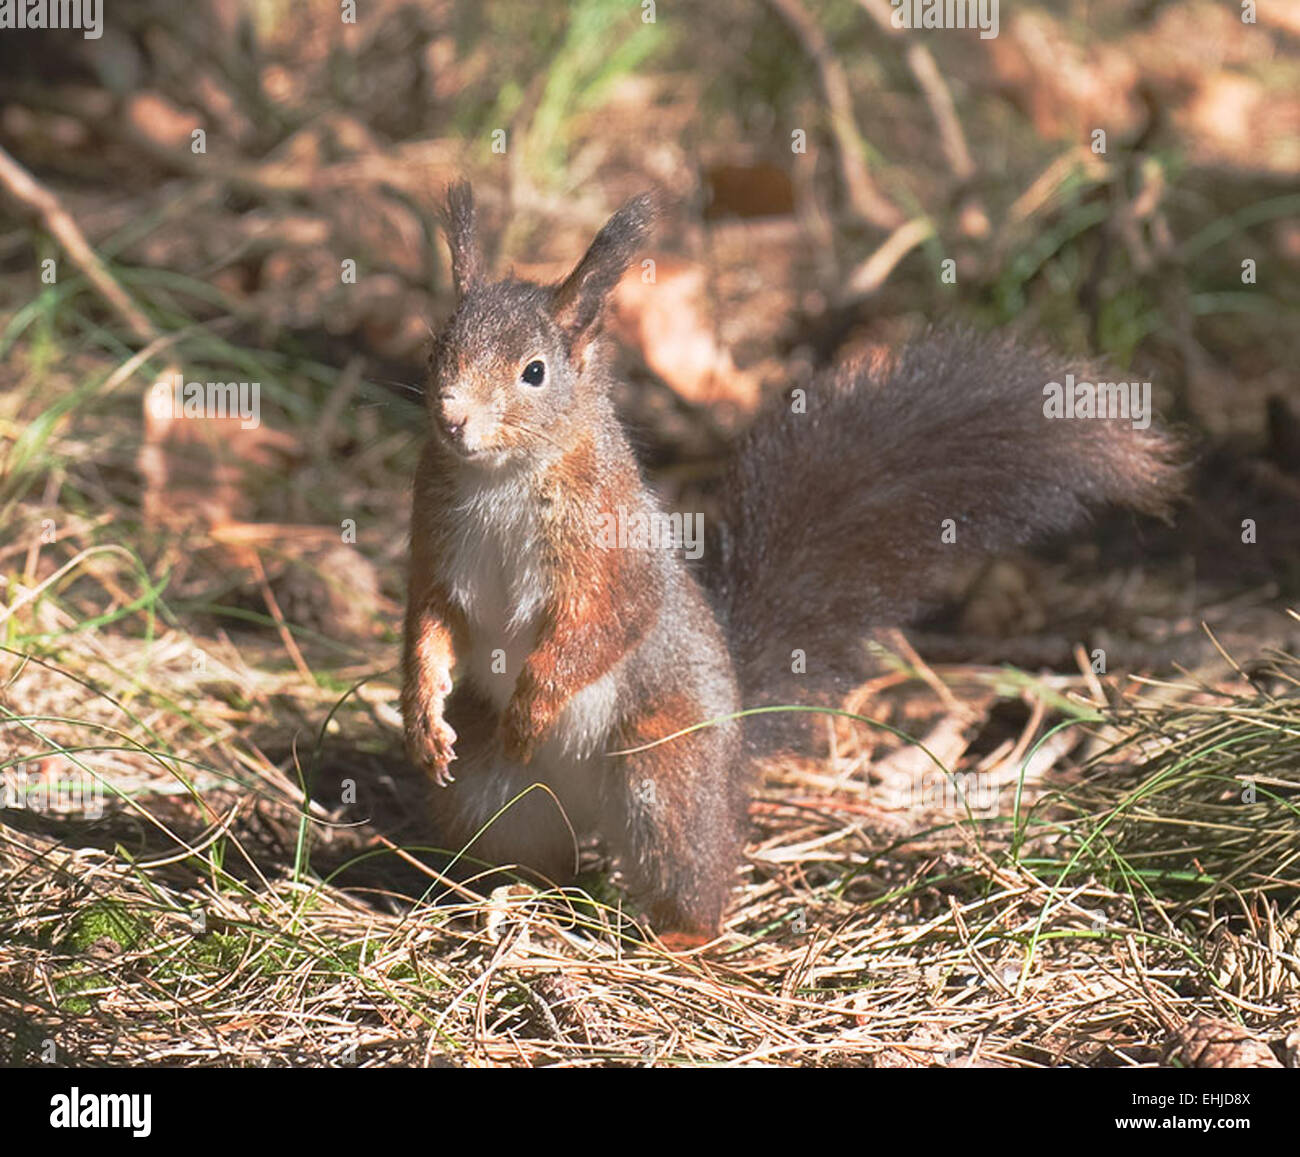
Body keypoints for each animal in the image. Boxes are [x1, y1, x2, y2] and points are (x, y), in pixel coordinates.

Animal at [397, 180, 1180, 935]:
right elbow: (428, 621)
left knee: (695, 876)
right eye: (437, 349)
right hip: (490, 797)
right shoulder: (434, 540)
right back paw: (494, 897)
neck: (501, 476)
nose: (453, 417)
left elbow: (608, 624)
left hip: (665, 774)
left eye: (533, 372)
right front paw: (422, 715)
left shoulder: (610, 550)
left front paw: (533, 707)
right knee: (526, 851)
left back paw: (678, 935)